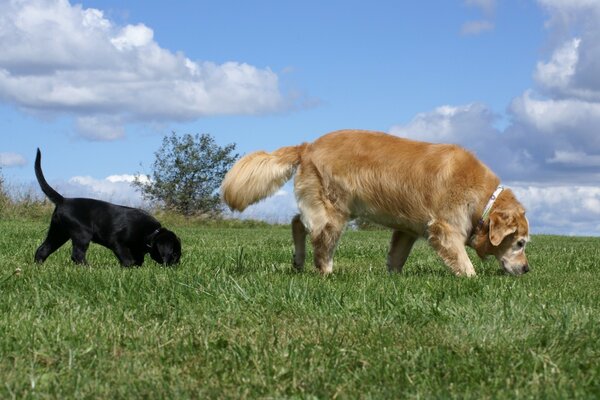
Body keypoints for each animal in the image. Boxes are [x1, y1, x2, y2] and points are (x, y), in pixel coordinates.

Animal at [34, 148, 180, 268]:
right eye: (174, 254)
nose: (175, 266)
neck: (150, 233)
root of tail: (63, 200)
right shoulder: (117, 242)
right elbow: (127, 258)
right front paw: (128, 267)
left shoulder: (137, 249)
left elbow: (138, 260)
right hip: (82, 233)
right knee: (77, 255)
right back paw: (89, 268)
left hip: (58, 232)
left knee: (42, 250)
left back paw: (38, 267)